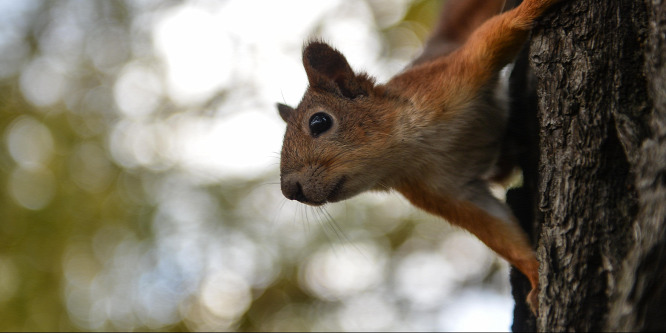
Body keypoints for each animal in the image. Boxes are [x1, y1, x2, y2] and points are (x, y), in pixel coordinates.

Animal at [274, 0, 560, 312]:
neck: (411, 151)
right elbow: (497, 230)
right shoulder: (444, 193)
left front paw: (534, 7)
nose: (290, 190)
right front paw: (534, 274)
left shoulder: (452, 75)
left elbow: (499, 31)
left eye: (319, 122)